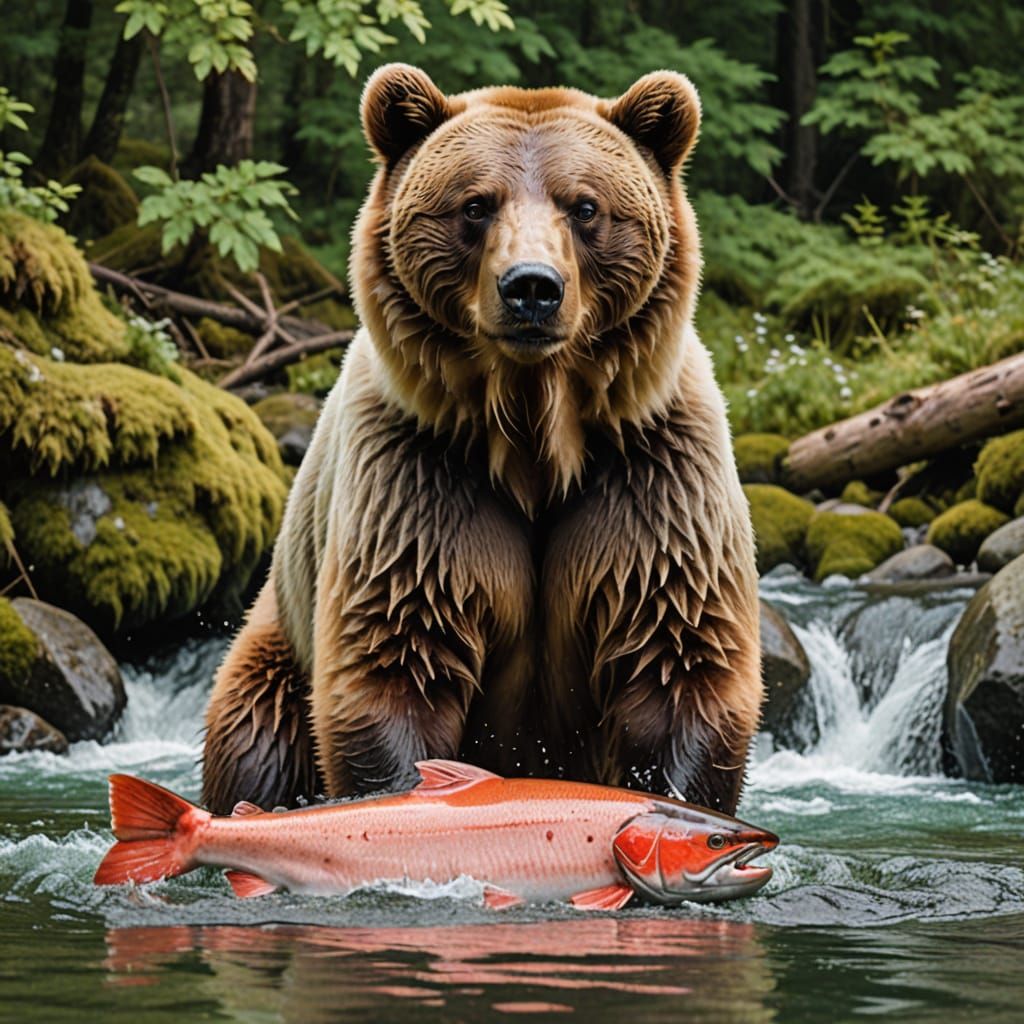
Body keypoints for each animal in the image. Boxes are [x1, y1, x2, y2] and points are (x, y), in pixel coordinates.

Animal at [201, 64, 762, 816]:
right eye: (474, 205)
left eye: (585, 206)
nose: (532, 288)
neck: (535, 433)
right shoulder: (418, 471)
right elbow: (397, 662)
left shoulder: (651, 470)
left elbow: (677, 661)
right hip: (277, 649)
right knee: (256, 737)